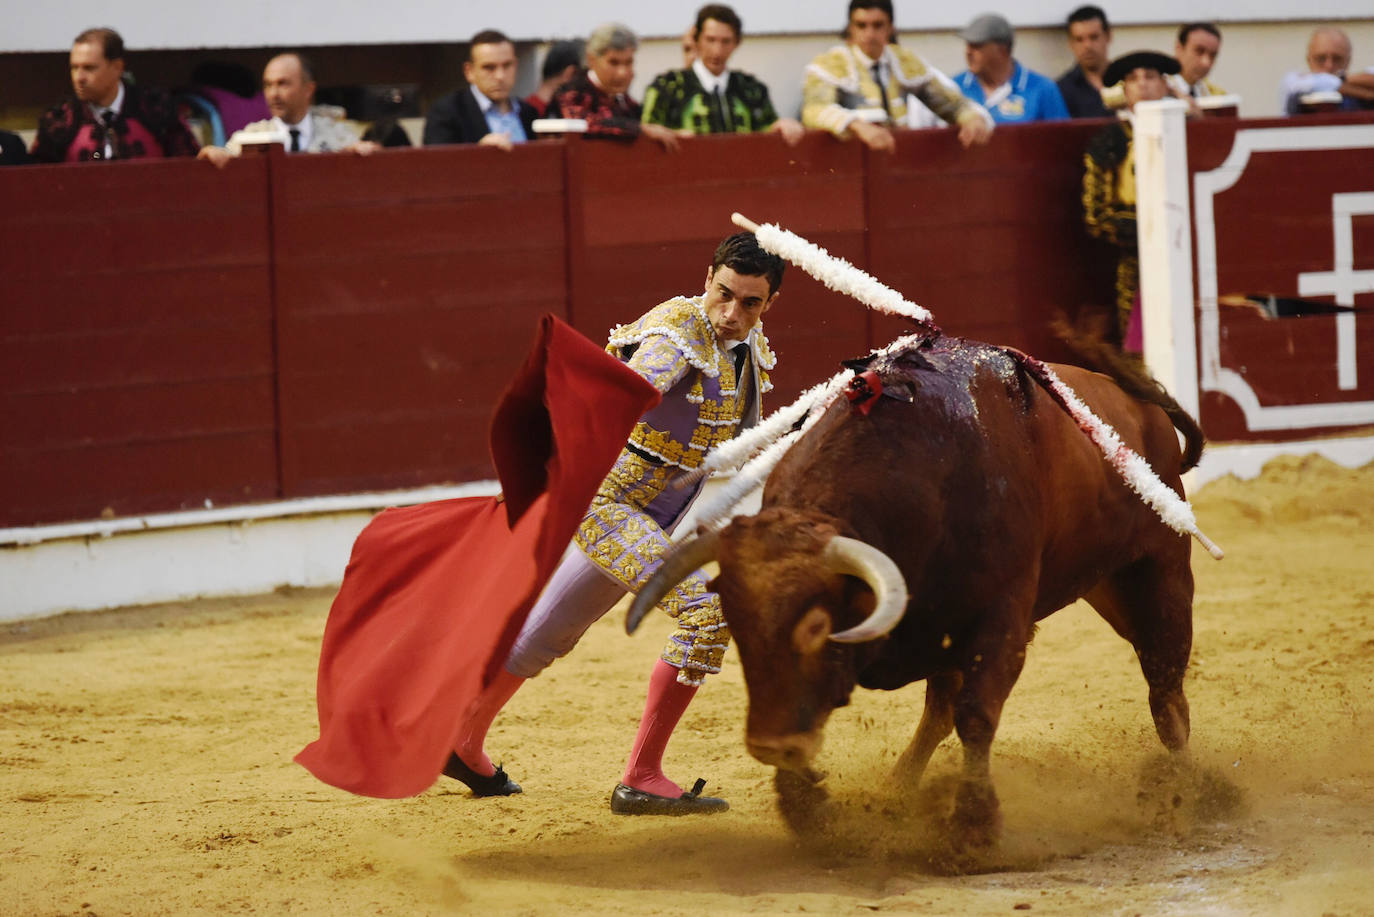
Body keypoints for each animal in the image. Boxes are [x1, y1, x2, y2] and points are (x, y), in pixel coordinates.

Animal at [629, 334, 1203, 852]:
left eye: (817, 626)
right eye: (740, 625)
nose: (770, 745)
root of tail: (1142, 412)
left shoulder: (1000, 622)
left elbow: (976, 715)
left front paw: (972, 831)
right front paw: (810, 812)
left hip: (1159, 574)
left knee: (1165, 689)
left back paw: (1186, 792)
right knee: (938, 715)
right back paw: (896, 790)